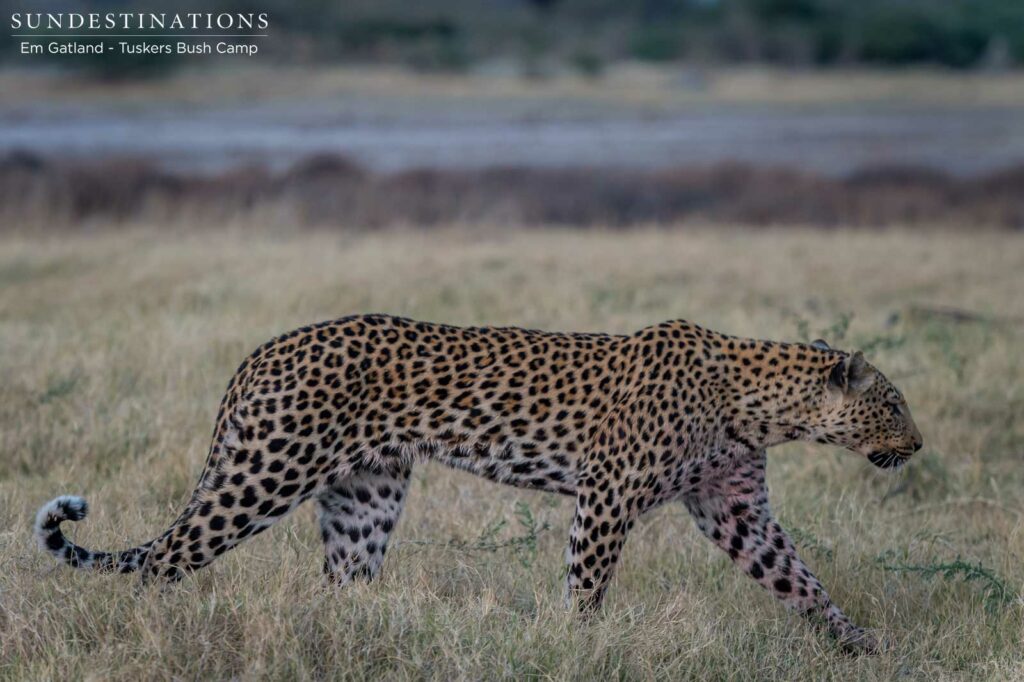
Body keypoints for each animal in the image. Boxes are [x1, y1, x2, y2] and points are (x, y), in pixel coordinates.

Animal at [35, 315, 922, 653]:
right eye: (892, 402)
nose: (917, 444)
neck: (759, 405)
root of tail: (260, 351)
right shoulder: (607, 495)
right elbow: (586, 586)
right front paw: (577, 648)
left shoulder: (736, 510)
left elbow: (802, 581)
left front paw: (863, 647)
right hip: (265, 470)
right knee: (164, 558)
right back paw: (151, 636)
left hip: (367, 494)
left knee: (341, 584)